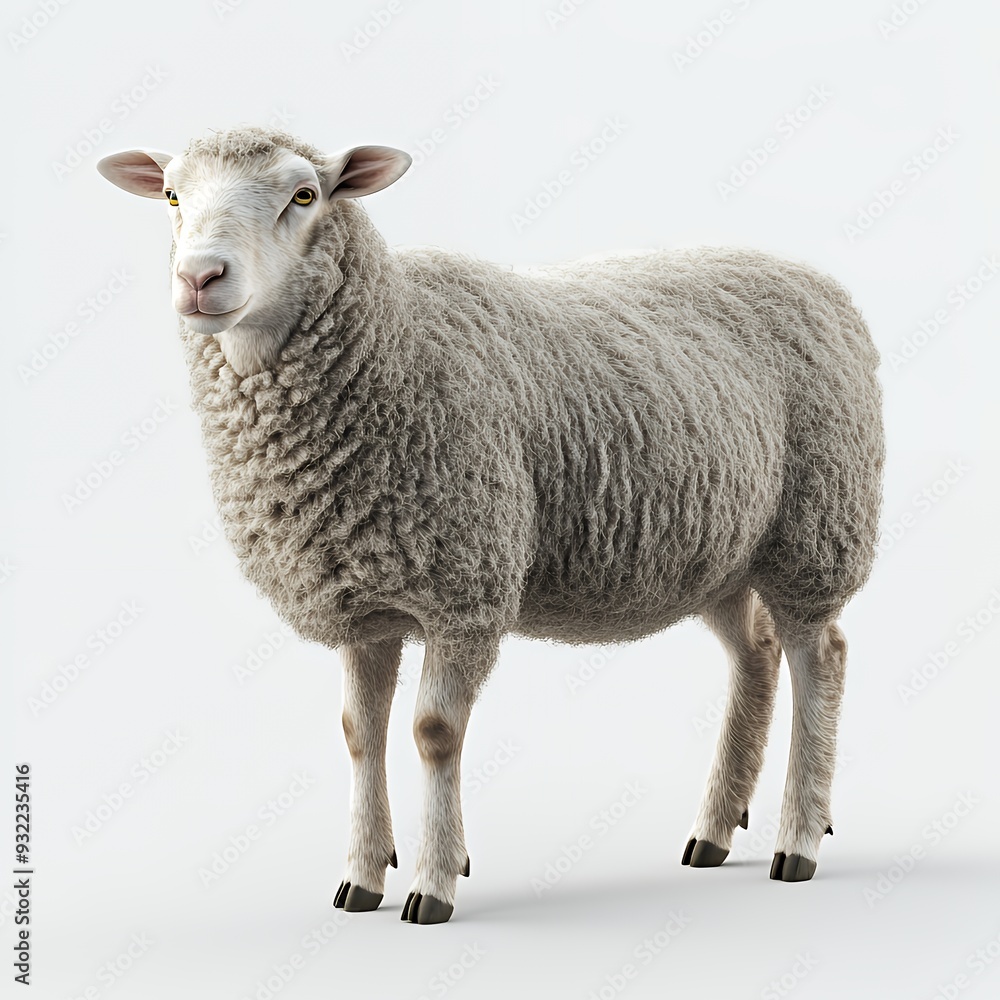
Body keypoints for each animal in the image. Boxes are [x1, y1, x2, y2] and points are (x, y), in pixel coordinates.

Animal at [97, 125, 883, 924]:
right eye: (172, 195)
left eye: (305, 194)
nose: (200, 277)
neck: (397, 343)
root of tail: (819, 281)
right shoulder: (363, 599)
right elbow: (359, 735)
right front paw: (361, 876)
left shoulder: (464, 592)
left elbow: (433, 733)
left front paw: (433, 882)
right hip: (722, 554)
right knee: (755, 654)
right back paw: (715, 831)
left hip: (816, 528)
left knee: (820, 656)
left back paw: (798, 840)